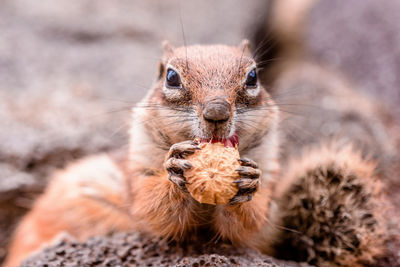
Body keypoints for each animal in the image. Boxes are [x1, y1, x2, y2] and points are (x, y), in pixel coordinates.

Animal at [4, 40, 390, 266]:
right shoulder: (138, 171)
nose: (217, 112)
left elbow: (249, 226)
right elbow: (151, 210)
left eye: (253, 77)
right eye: (171, 77)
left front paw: (247, 183)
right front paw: (174, 173)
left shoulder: (269, 189)